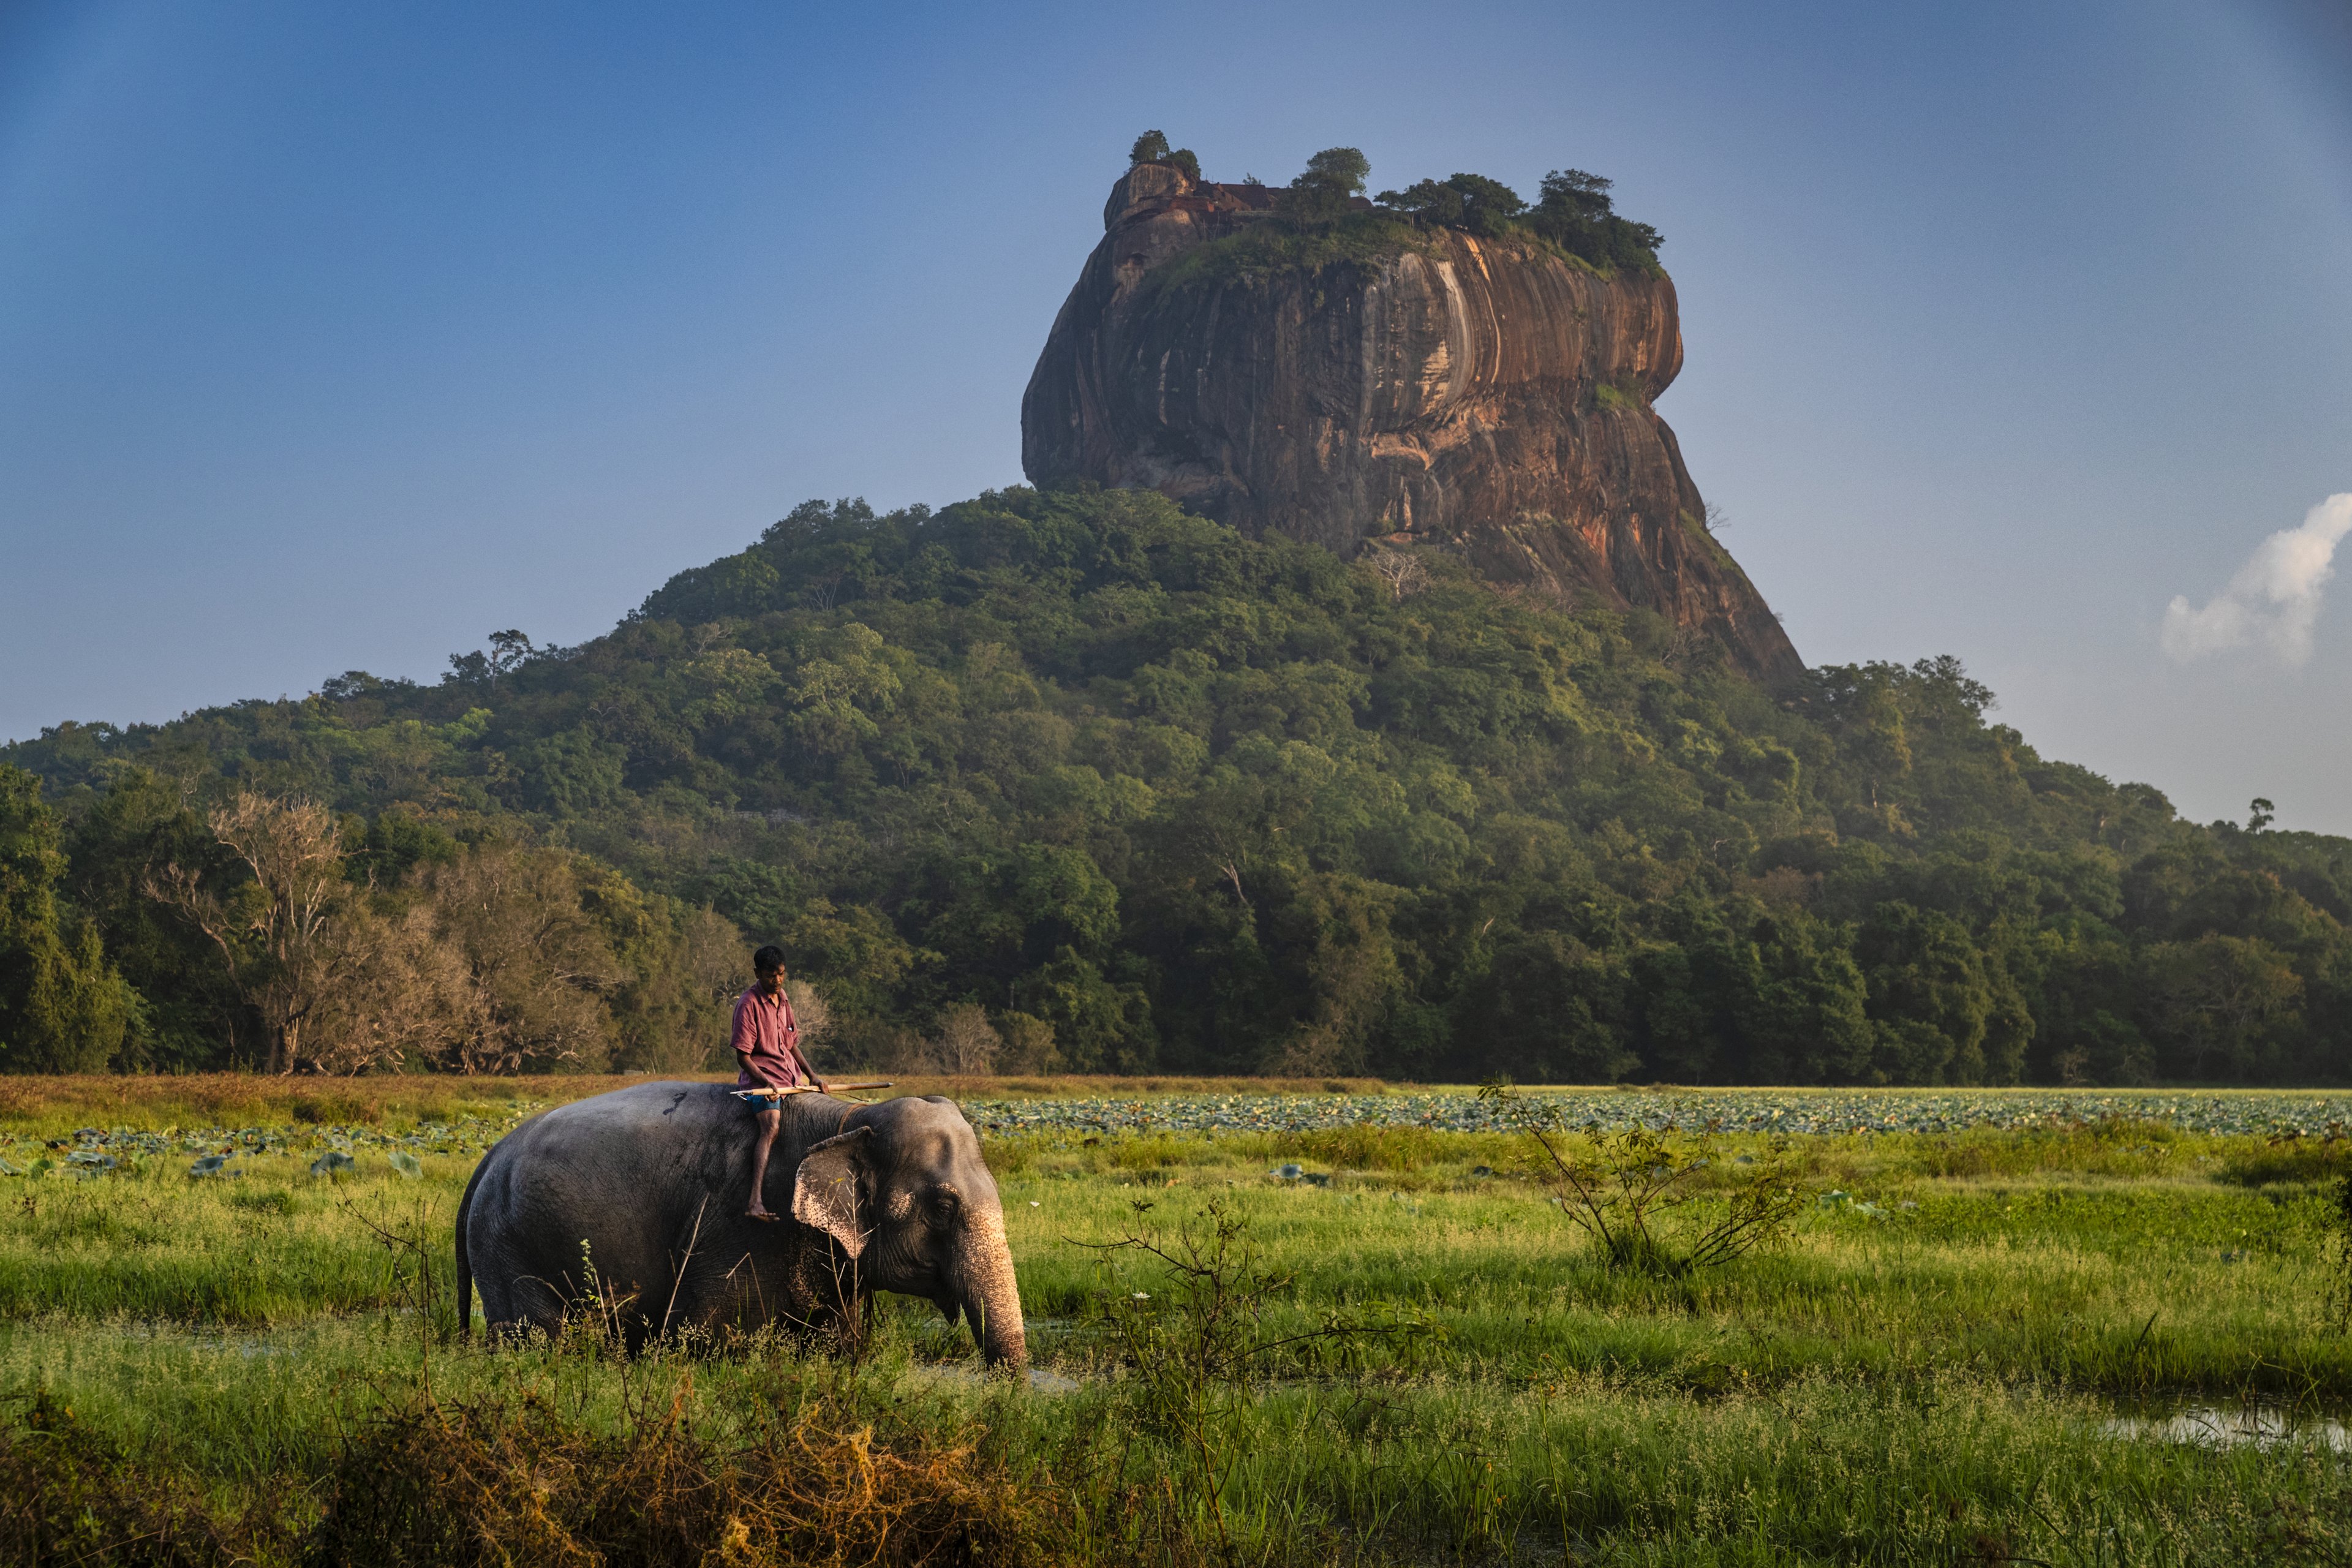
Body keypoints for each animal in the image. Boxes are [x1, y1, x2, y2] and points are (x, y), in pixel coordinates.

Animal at [454, 1081, 1026, 1369]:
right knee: (536, 1338)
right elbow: (710, 1337)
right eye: (944, 1207)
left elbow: (832, 1345)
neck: (848, 1116)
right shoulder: (742, 1229)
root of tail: (489, 1154)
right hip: (508, 1245)